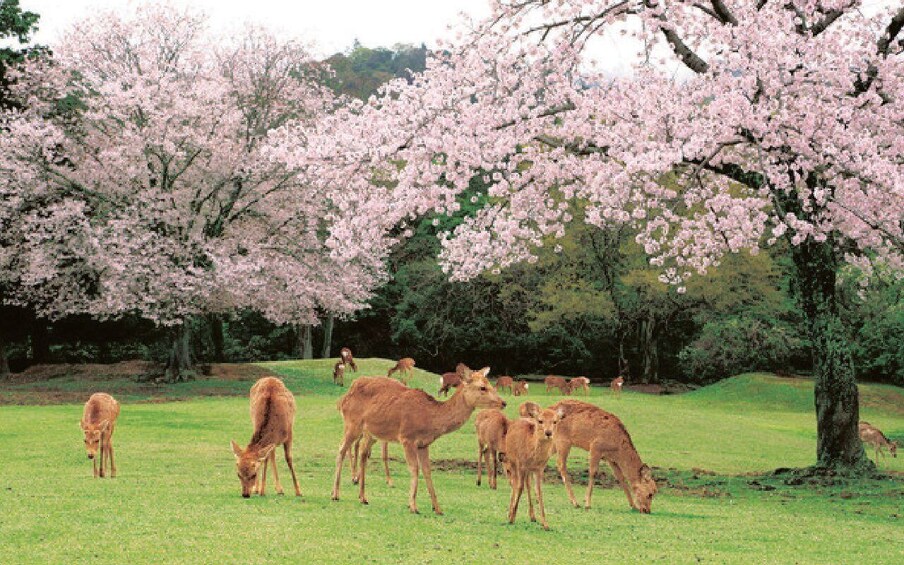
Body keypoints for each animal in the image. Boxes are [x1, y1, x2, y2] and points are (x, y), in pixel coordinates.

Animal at [331, 367, 505, 514]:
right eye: (482, 387)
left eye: (490, 383)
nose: (503, 402)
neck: (429, 419)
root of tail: (343, 398)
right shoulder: (407, 438)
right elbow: (414, 469)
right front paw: (413, 506)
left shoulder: (423, 444)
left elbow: (427, 471)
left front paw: (437, 508)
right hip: (352, 423)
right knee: (341, 448)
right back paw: (335, 494)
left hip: (372, 433)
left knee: (362, 454)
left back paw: (363, 497)